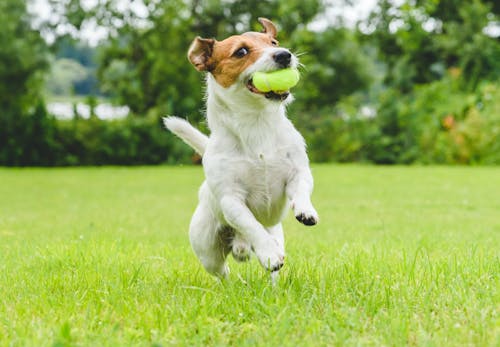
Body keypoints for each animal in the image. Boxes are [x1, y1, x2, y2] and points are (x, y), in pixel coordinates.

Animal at [166, 18, 318, 280]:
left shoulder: (297, 172)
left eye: (273, 42)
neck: (256, 124)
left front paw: (305, 210)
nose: (284, 55)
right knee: (223, 271)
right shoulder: (231, 199)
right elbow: (250, 224)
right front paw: (268, 253)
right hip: (207, 249)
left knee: (270, 269)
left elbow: (301, 189)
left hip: (275, 232)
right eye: (241, 52)